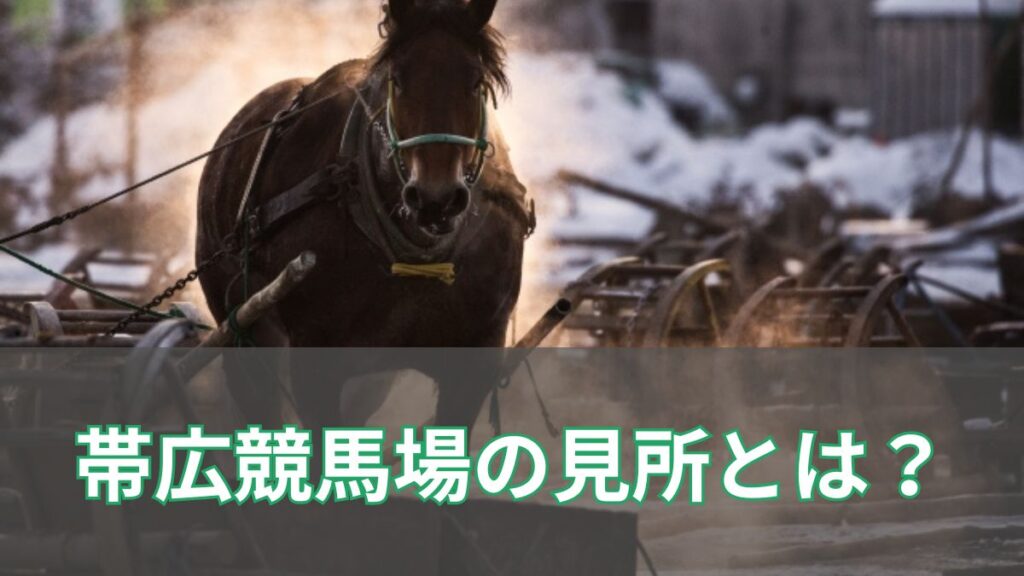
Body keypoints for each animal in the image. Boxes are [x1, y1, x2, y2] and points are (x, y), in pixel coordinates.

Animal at [195, 0, 533, 434]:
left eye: (475, 81)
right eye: (398, 80)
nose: (436, 199)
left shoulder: (475, 360)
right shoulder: (315, 361)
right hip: (244, 329)